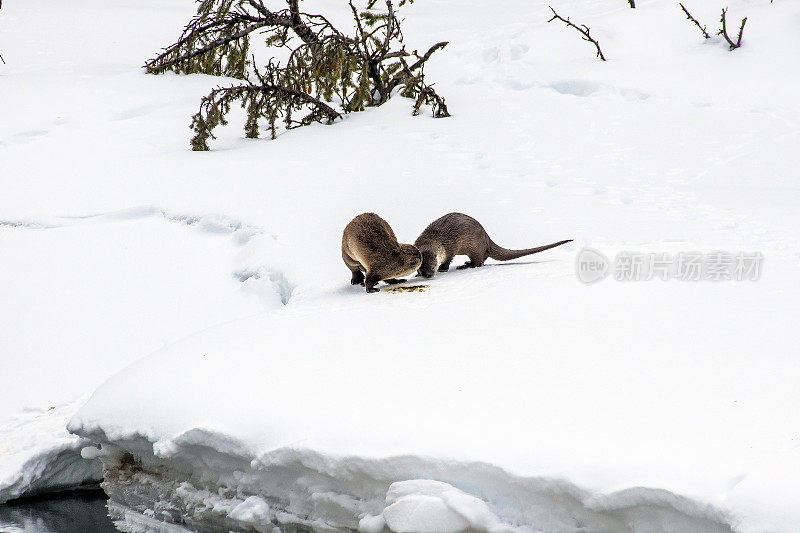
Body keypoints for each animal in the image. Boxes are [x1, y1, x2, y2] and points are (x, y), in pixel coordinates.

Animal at [416, 212, 572, 278]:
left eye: (433, 266)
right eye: (421, 268)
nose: (428, 275)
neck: (436, 239)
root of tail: (487, 240)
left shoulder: (450, 248)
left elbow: (448, 260)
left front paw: (444, 269)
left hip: (475, 247)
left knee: (479, 262)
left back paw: (466, 265)